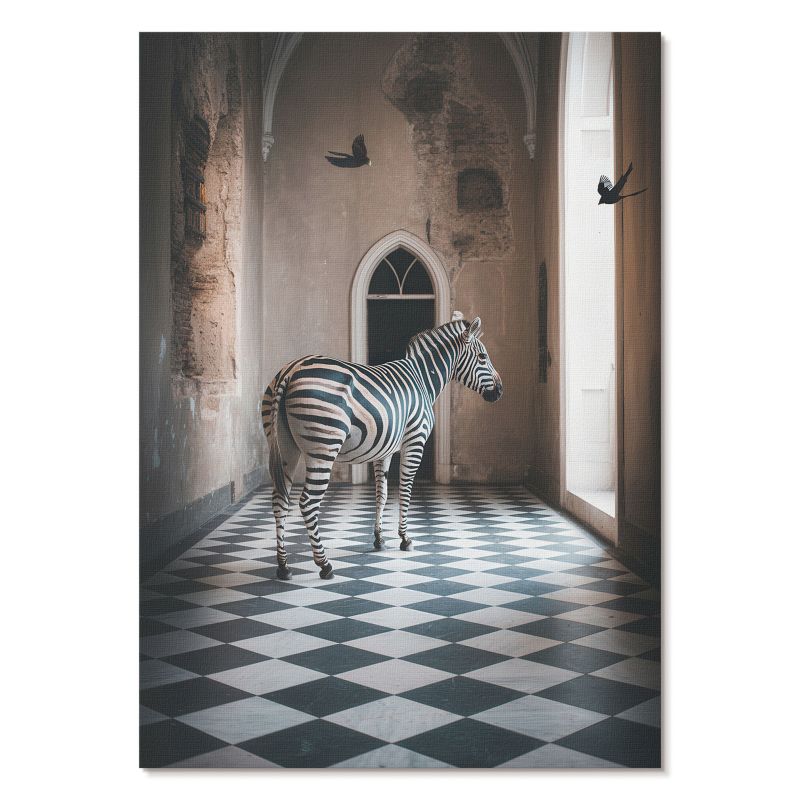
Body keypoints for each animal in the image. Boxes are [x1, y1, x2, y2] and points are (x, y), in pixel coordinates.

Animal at [261, 313, 503, 580]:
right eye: (482, 357)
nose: (500, 390)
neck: (423, 379)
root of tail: (291, 370)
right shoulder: (415, 440)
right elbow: (405, 490)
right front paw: (405, 538)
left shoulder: (384, 450)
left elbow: (382, 494)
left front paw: (379, 539)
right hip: (324, 446)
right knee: (307, 503)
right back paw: (324, 565)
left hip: (286, 447)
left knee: (279, 500)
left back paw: (283, 566)